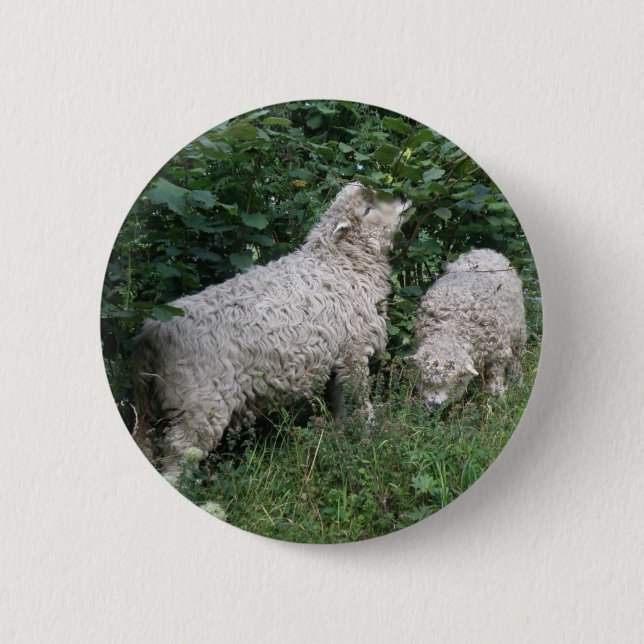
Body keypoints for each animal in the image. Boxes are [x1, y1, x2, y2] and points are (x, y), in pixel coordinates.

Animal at [132, 183, 412, 476]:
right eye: (367, 209)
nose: (404, 197)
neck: (340, 263)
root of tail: (149, 333)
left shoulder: (338, 357)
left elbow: (338, 402)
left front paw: (340, 435)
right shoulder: (353, 352)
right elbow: (358, 399)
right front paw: (369, 433)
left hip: (150, 406)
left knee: (147, 442)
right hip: (198, 403)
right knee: (180, 453)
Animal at [412, 248, 526, 407]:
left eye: (451, 381)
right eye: (425, 379)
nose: (434, 404)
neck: (450, 328)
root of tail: (485, 250)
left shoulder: (499, 353)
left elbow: (495, 377)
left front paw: (497, 398)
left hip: (519, 333)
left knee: (516, 359)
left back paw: (517, 382)